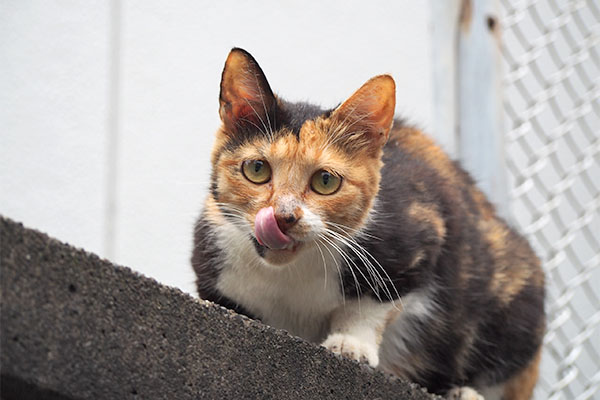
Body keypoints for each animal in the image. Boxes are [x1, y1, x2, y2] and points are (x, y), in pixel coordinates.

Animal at [191, 47, 544, 400]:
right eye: (257, 169)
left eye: (325, 181)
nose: (283, 216)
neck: (290, 274)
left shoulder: (419, 237)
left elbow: (372, 305)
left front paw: (351, 344)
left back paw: (465, 392)